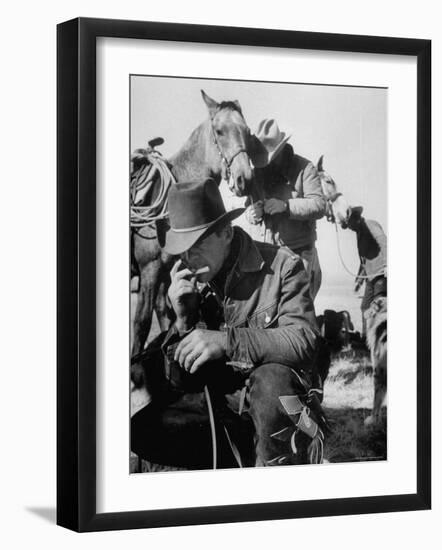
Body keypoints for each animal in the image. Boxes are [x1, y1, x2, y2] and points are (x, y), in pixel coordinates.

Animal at [131, 90, 254, 368]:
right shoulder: (149, 269)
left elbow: (165, 316)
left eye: (247, 131)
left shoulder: (166, 272)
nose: (245, 178)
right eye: (219, 131)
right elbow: (141, 323)